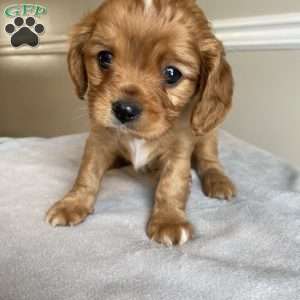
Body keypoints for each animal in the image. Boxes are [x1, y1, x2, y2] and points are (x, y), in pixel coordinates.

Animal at [45, 0, 236, 246]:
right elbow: (87, 172)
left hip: (207, 134)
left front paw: (169, 219)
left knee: (209, 160)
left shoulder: (179, 148)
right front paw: (72, 203)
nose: (124, 110)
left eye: (172, 73)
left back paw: (218, 181)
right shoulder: (99, 139)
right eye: (104, 58)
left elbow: (172, 183)